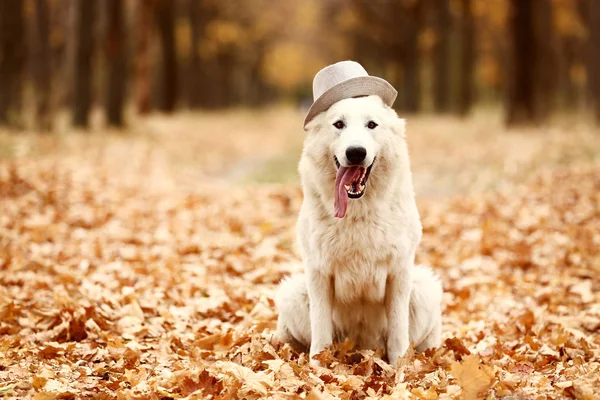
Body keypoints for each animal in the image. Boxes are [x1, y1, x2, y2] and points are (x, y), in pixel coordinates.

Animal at [276, 93, 440, 366]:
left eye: (371, 125)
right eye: (339, 124)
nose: (355, 153)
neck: (357, 212)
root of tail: (361, 348)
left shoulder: (399, 272)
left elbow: (398, 333)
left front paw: (399, 370)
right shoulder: (318, 274)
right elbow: (321, 332)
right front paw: (317, 368)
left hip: (424, 288)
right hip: (294, 292)